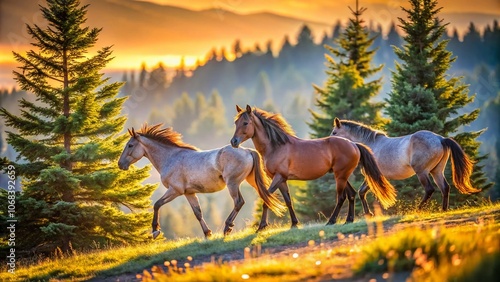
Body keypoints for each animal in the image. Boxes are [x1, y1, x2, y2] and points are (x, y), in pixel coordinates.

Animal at [114, 124, 284, 239]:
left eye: (130, 145)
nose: (120, 164)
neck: (171, 158)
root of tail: (247, 150)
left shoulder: (175, 191)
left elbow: (157, 205)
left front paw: (155, 230)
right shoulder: (189, 193)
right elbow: (198, 213)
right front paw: (207, 233)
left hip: (233, 184)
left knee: (239, 202)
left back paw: (227, 228)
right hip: (251, 181)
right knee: (265, 197)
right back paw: (260, 227)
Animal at [229, 104, 396, 230]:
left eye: (245, 123)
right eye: (236, 123)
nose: (234, 142)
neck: (277, 146)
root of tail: (354, 144)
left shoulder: (278, 177)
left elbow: (266, 199)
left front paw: (261, 226)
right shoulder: (282, 180)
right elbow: (288, 201)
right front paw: (294, 224)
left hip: (340, 176)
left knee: (341, 197)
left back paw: (331, 221)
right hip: (342, 175)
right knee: (352, 194)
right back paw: (348, 220)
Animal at [332, 118, 480, 213]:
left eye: (334, 132)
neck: (372, 145)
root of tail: (440, 139)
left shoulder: (373, 175)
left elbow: (362, 192)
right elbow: (362, 192)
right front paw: (369, 214)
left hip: (422, 172)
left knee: (430, 189)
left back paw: (418, 210)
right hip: (436, 171)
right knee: (445, 188)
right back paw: (443, 210)